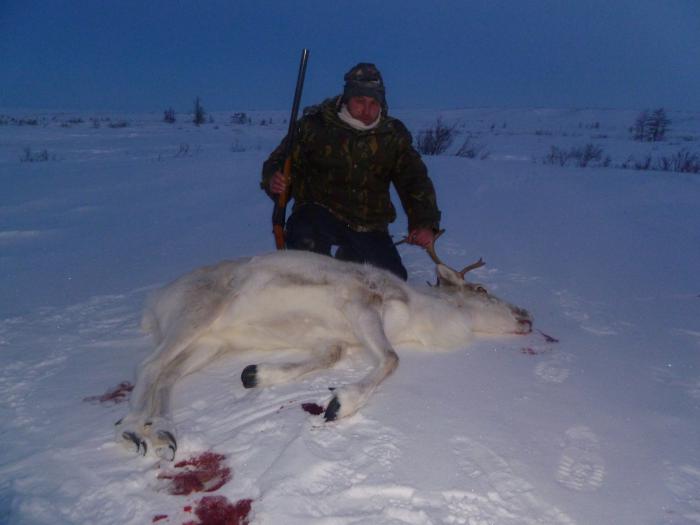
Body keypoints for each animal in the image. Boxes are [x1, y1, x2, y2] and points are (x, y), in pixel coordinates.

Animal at [115, 235, 533, 461]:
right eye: (480, 289)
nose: (527, 316)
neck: (420, 315)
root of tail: (154, 304)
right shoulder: (364, 308)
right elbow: (392, 359)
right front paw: (338, 404)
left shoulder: (334, 338)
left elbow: (328, 356)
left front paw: (256, 374)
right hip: (196, 315)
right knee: (148, 367)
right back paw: (134, 430)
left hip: (208, 345)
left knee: (167, 376)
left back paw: (163, 434)